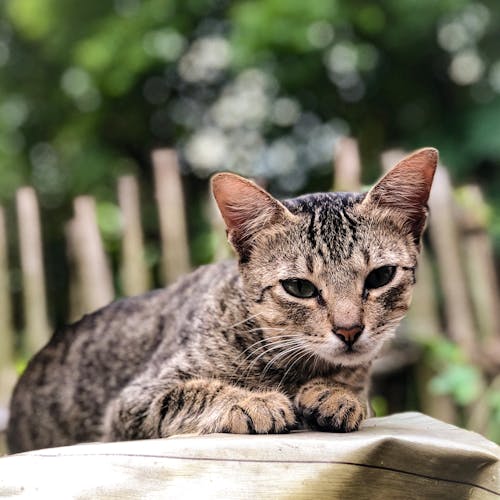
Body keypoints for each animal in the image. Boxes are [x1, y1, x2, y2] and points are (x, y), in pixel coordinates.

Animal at [6, 146, 438, 454]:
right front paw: (253, 402)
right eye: (299, 287)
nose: (349, 330)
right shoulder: (132, 403)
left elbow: (359, 392)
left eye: (380, 276)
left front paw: (338, 394)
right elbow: (191, 392)